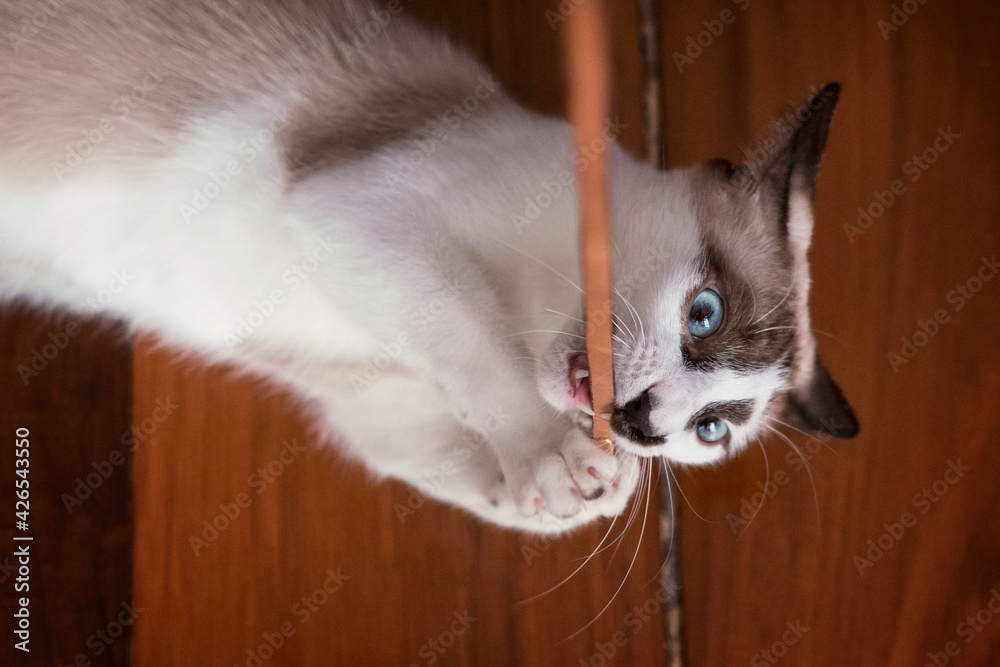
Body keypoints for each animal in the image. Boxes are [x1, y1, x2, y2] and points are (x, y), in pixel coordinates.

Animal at [0, 0, 858, 533]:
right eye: (704, 314)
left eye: (710, 429)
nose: (643, 423)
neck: (529, 302)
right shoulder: (363, 217)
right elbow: (475, 344)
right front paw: (557, 458)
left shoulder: (370, 398)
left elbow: (456, 456)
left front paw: (585, 496)